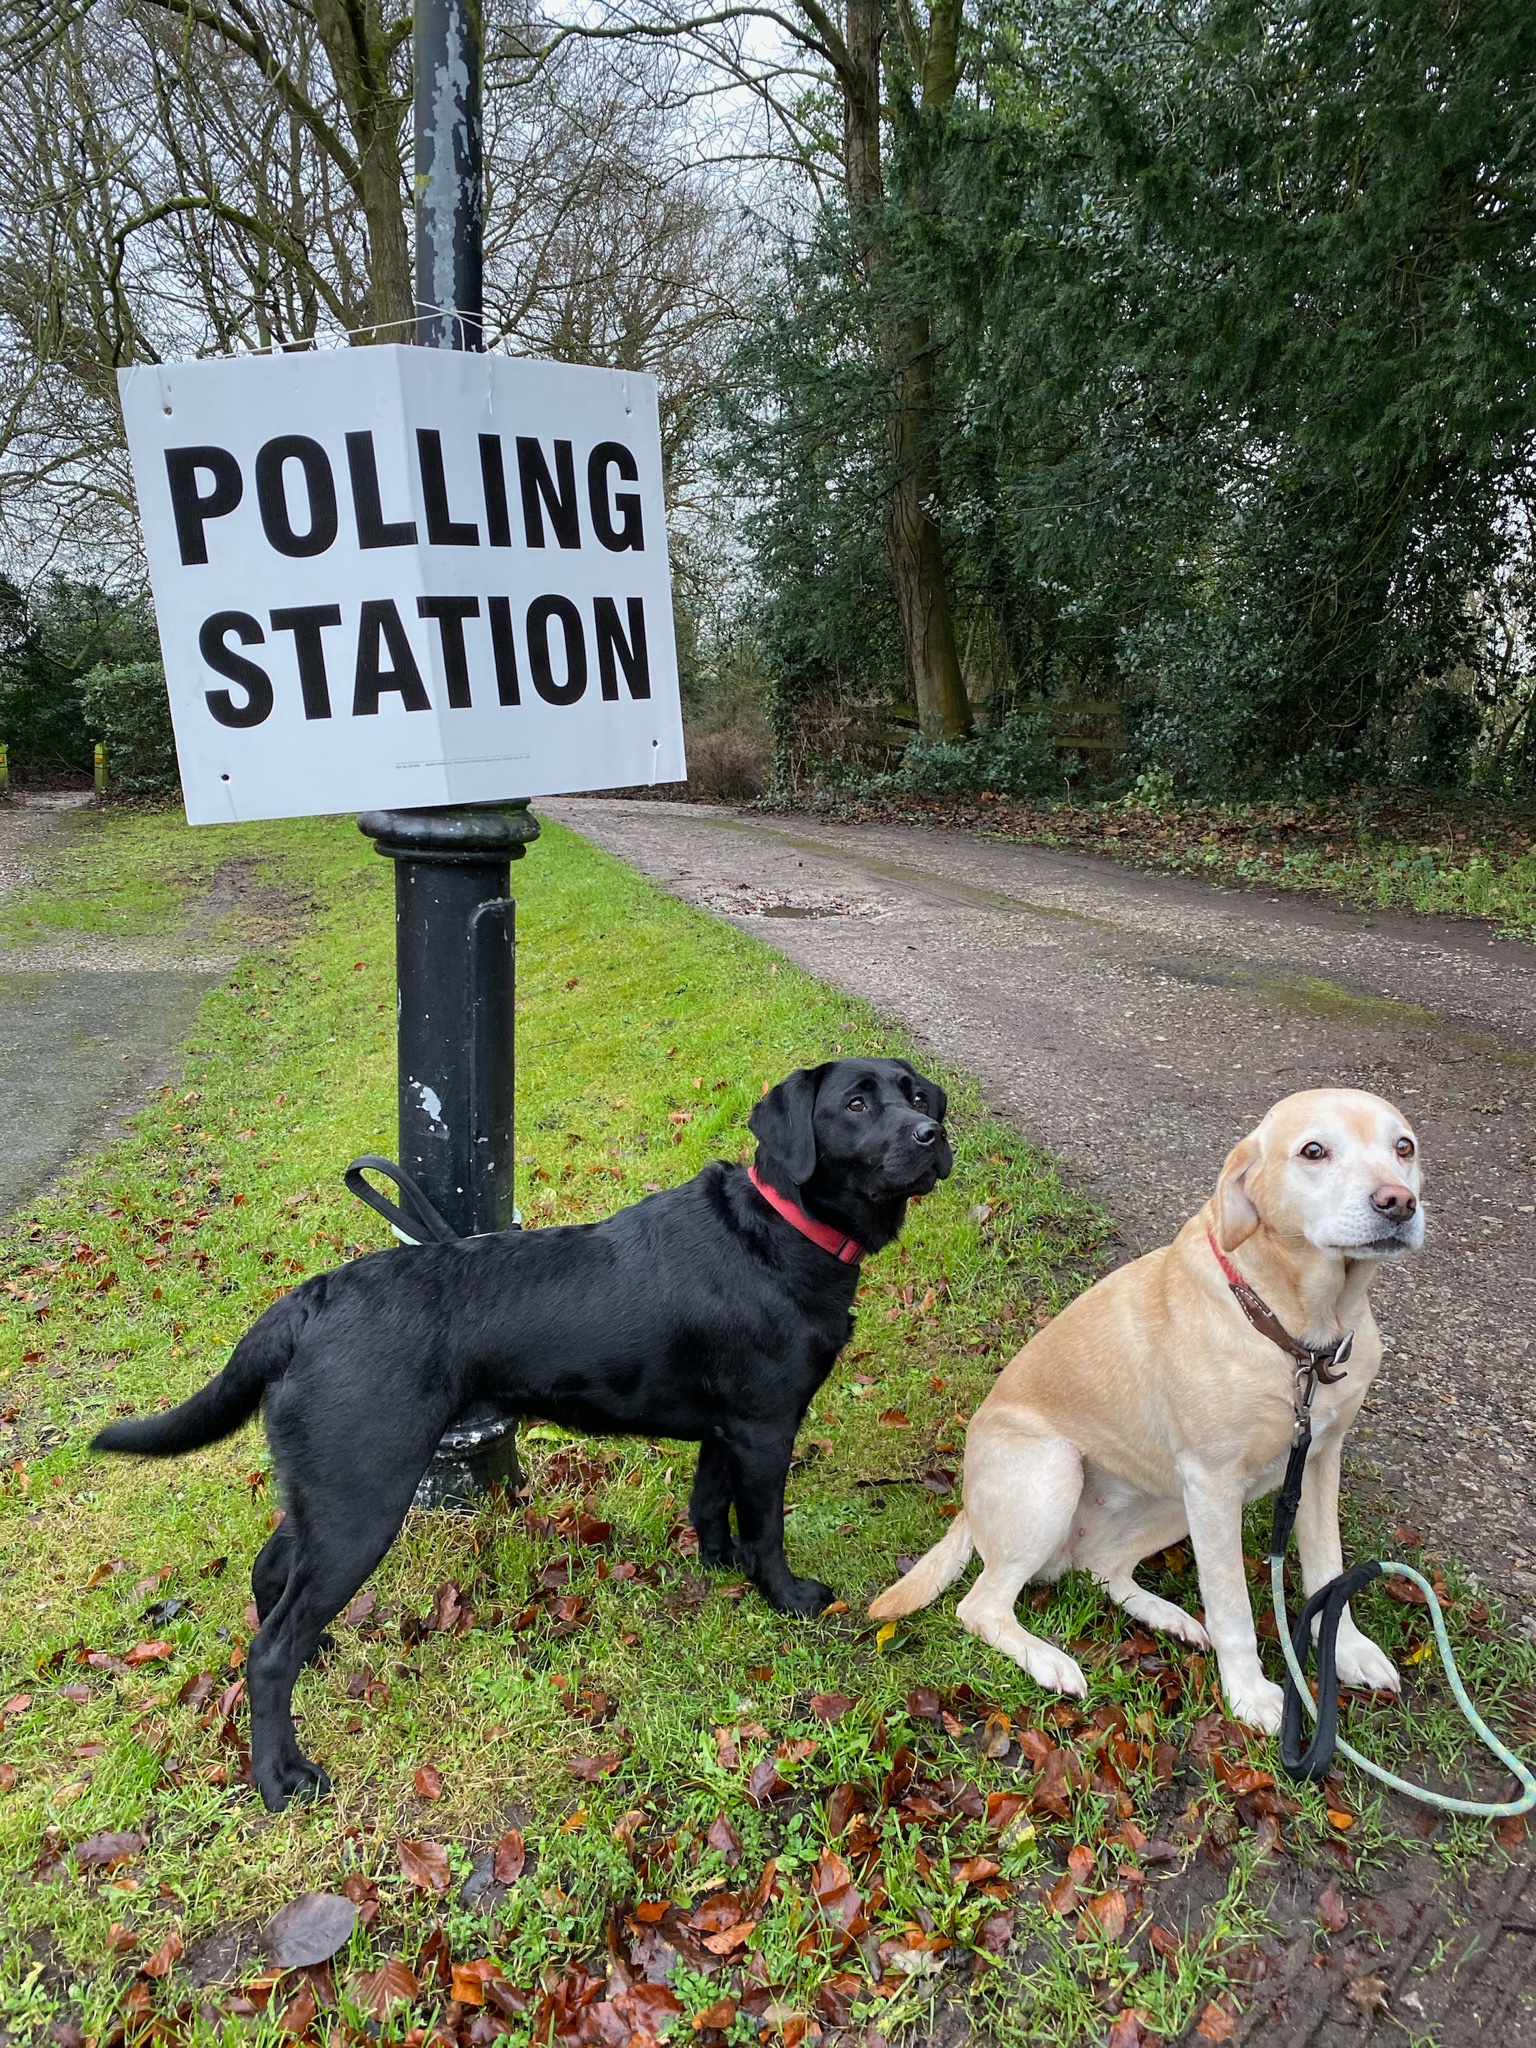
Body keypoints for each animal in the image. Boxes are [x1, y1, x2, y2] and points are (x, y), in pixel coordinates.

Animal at [95, 1057, 952, 1809]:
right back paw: (282, 1778)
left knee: (272, 1574)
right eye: (856, 1104)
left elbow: (711, 1507)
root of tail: (308, 1300)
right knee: (268, 1653)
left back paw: (325, 1653)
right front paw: (788, 1597)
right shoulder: (767, 1427)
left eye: (917, 1094)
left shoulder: (726, 1428)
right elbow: (766, 1528)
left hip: (331, 1487)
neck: (782, 1230)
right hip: (363, 1500)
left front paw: (719, 1571)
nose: (931, 1134)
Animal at [869, 1088, 1423, 1733]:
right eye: (1314, 1151)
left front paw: (1349, 1651)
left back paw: (1170, 1619)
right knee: (980, 1605)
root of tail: (966, 1504)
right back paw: (1050, 1661)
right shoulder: (1215, 1483)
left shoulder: (1314, 1460)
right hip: (1059, 1472)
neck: (1296, 1331)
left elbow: (1329, 1572)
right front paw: (1249, 1693)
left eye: (1403, 1147)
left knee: (1102, 1568)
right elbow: (1233, 1606)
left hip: (1175, 1501)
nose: (1398, 1203)